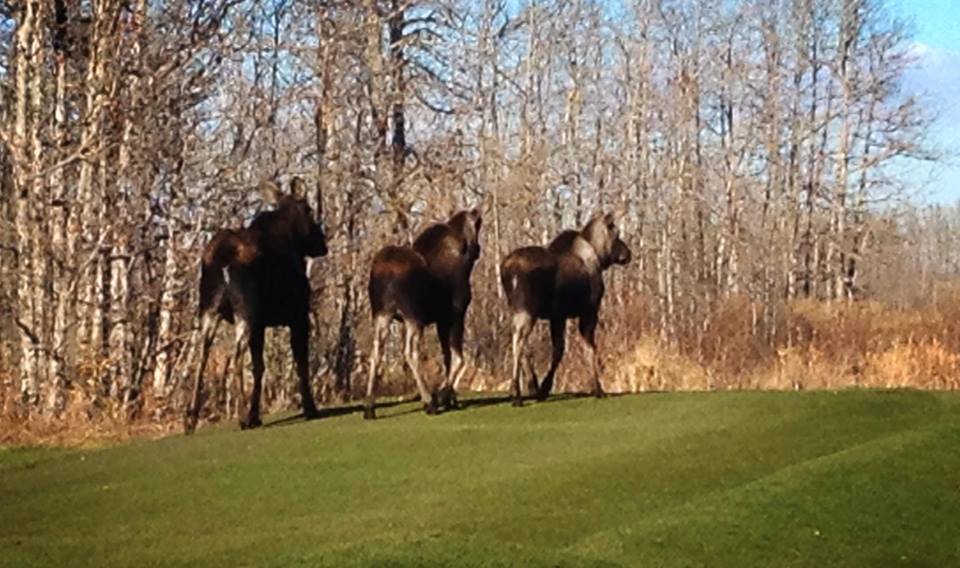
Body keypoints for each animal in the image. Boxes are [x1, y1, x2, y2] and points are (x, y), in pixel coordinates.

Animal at [187, 175, 330, 432]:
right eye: (309, 209)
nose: (323, 245)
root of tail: (221, 258)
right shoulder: (298, 316)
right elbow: (301, 362)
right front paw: (310, 408)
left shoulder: (262, 325)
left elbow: (259, 367)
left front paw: (257, 415)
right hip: (246, 310)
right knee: (235, 356)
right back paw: (242, 416)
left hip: (209, 309)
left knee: (202, 356)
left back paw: (191, 419)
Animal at [368, 209, 488, 418]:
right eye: (478, 224)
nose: (478, 249)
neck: (466, 263)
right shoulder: (456, 315)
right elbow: (459, 359)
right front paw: (442, 396)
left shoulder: (441, 321)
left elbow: (447, 358)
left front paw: (451, 400)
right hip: (413, 317)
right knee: (410, 353)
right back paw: (428, 401)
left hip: (381, 314)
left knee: (376, 352)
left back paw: (369, 407)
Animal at [498, 212, 632, 404]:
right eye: (616, 233)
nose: (627, 253)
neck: (599, 257)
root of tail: (507, 268)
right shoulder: (589, 311)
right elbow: (589, 348)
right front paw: (597, 388)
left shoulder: (557, 316)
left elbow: (558, 350)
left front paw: (542, 388)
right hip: (527, 310)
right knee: (518, 343)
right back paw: (516, 393)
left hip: (516, 310)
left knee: (520, 343)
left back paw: (529, 385)